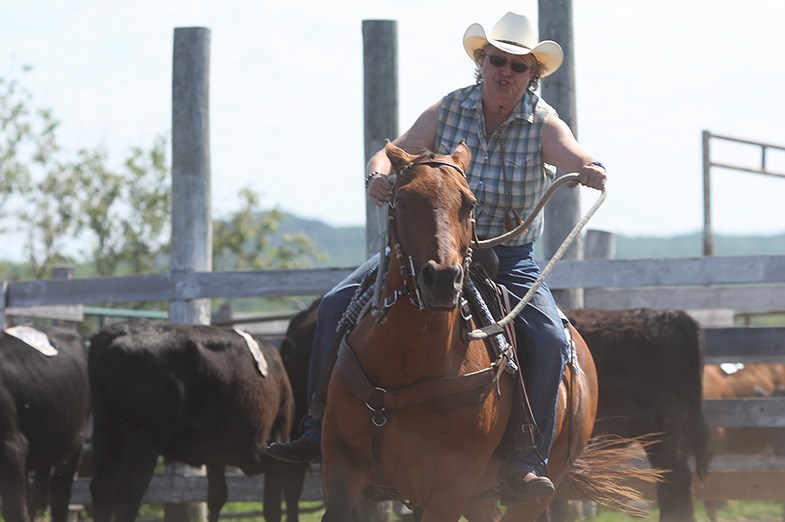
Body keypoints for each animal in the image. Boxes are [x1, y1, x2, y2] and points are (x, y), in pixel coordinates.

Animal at [87, 316, 298, 520]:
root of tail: (116, 333)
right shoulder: (275, 445)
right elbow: (273, 505)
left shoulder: (216, 455)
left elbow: (217, 496)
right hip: (144, 438)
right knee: (129, 491)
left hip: (106, 430)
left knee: (101, 487)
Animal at [318, 141, 600, 520]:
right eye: (401, 200)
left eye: (469, 204)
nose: (441, 279)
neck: (404, 362)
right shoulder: (340, 471)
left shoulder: (448, 489)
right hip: (478, 496)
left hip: (536, 486)